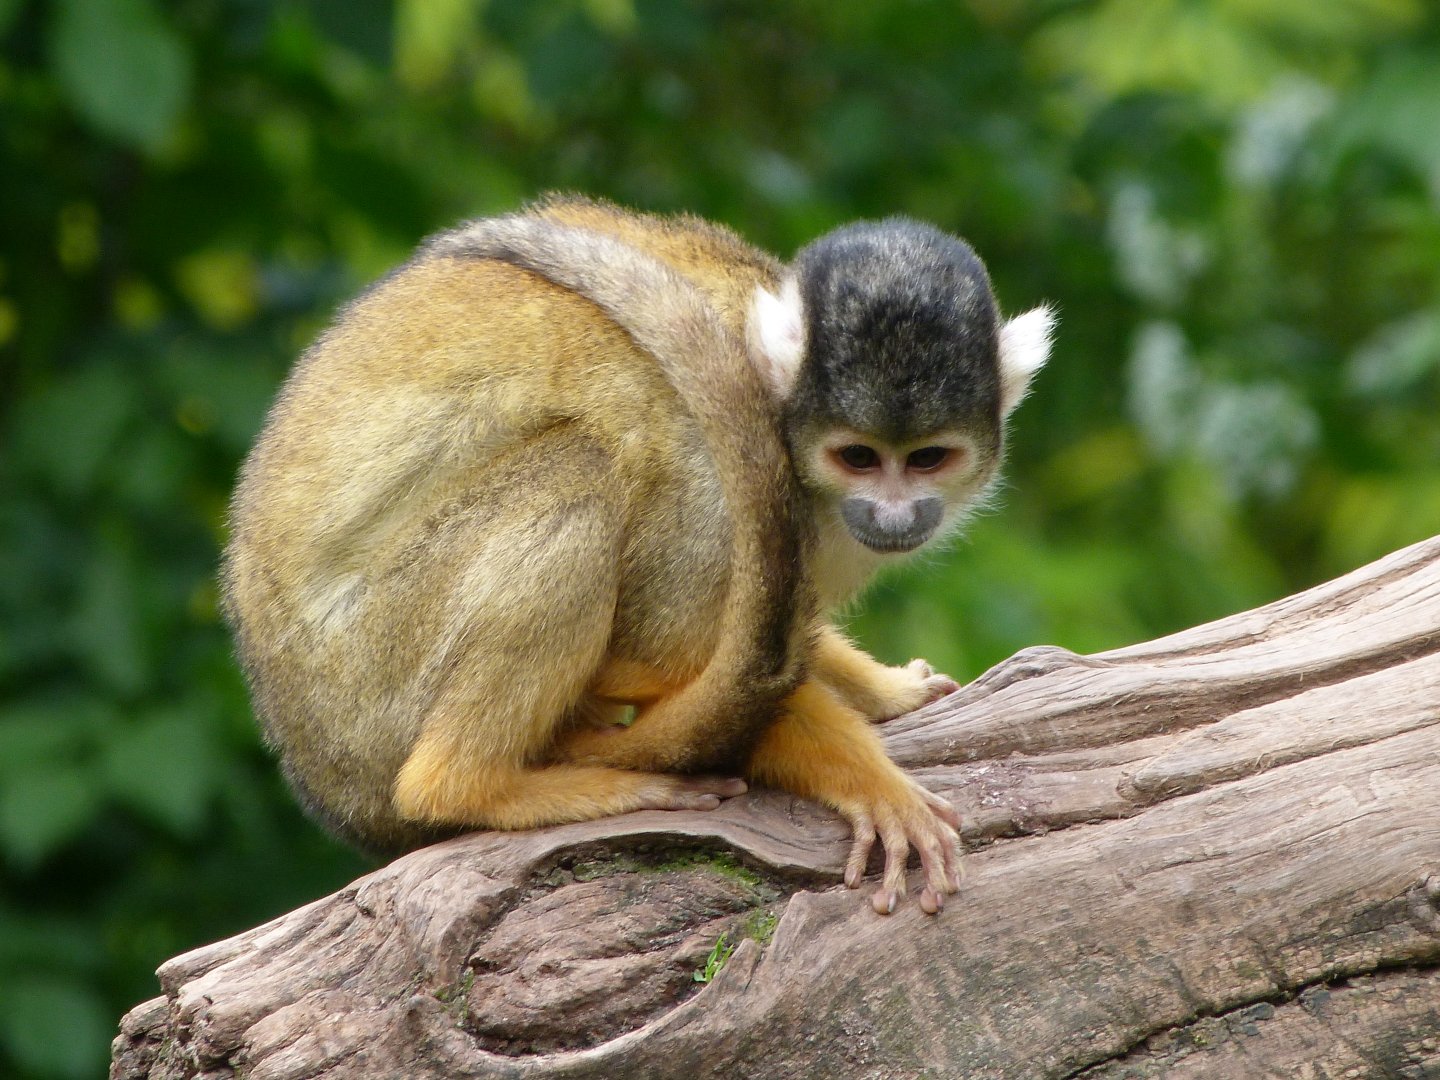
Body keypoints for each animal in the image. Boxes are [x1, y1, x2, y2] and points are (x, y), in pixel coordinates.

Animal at [221, 196, 1053, 916]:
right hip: (371, 674)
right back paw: (476, 784)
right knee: (577, 471)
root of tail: (322, 776)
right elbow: (666, 659)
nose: (894, 515)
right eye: (857, 457)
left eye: (927, 459)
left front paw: (884, 689)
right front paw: (872, 782)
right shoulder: (711, 483)